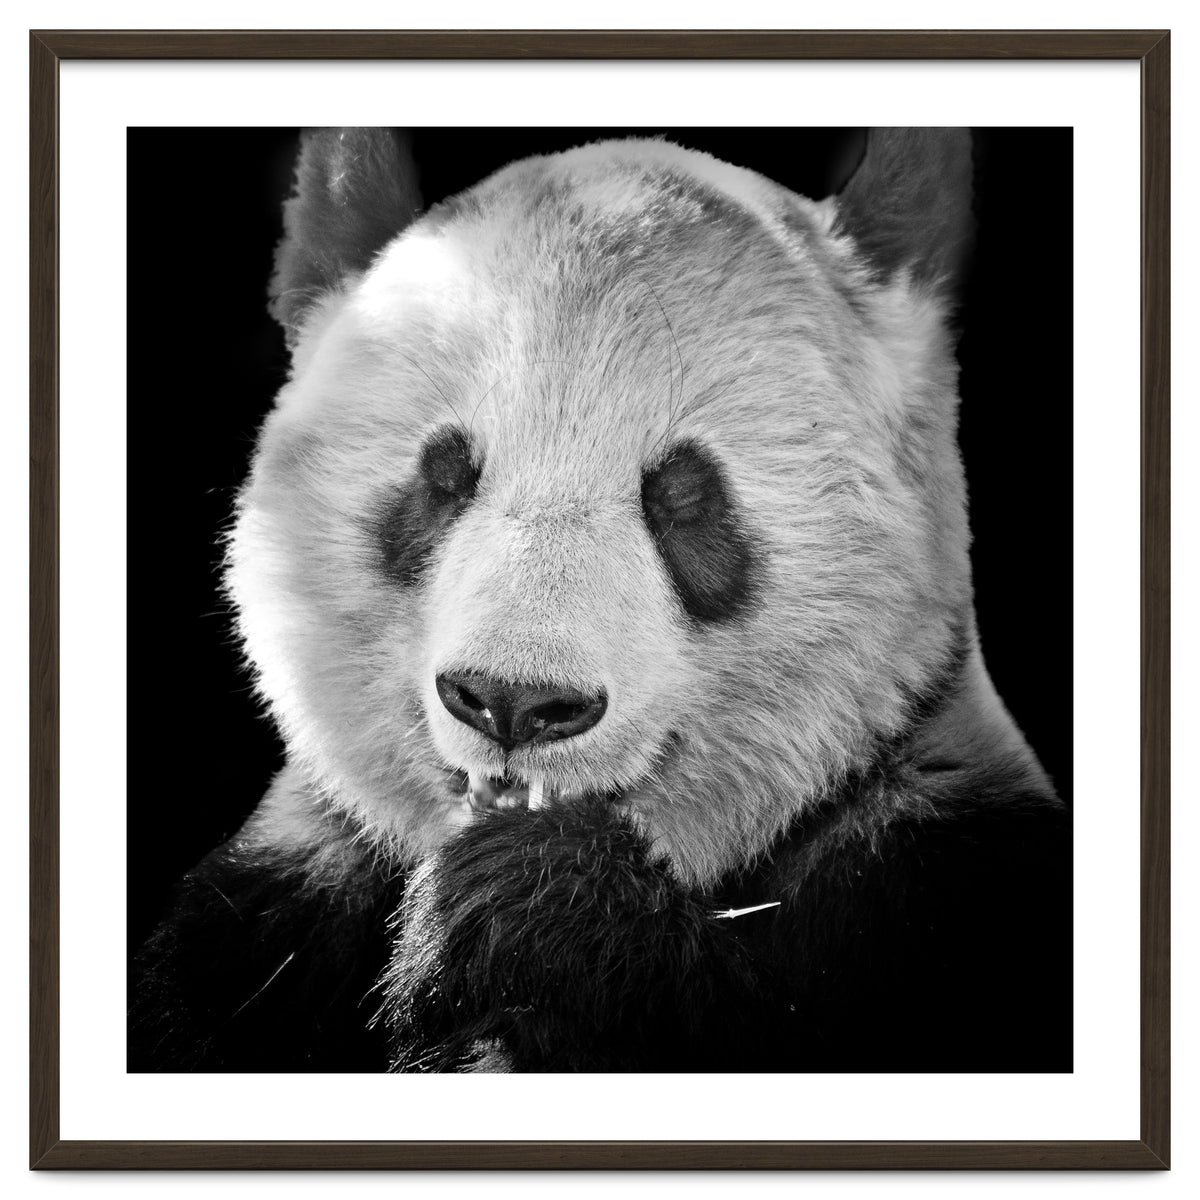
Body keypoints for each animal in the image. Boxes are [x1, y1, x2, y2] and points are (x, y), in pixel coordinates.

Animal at [129, 127, 1072, 1074]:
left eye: (683, 496)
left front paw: (533, 907)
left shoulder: (936, 879)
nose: (514, 701)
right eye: (444, 476)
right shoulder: (267, 916)